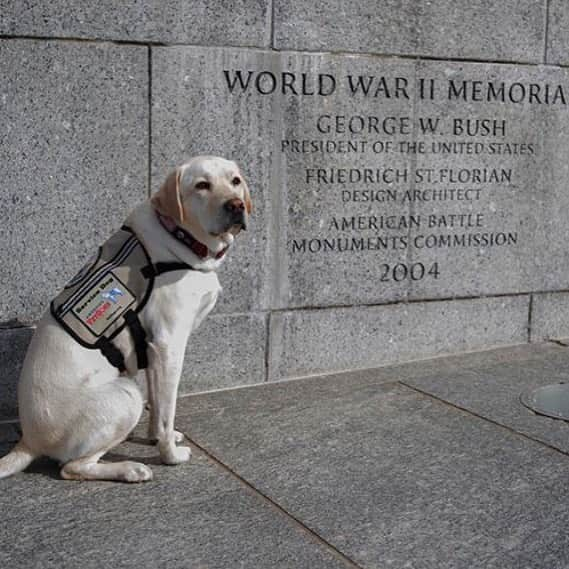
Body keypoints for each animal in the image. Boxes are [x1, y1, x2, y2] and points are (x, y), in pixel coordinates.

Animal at [0, 156, 251, 484]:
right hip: (126, 395)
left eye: (235, 181)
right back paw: (130, 469)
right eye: (202, 185)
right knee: (72, 468)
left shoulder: (154, 350)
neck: (179, 236)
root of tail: (28, 440)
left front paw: (156, 438)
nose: (236, 205)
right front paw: (169, 455)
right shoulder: (169, 345)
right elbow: (168, 410)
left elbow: (159, 407)